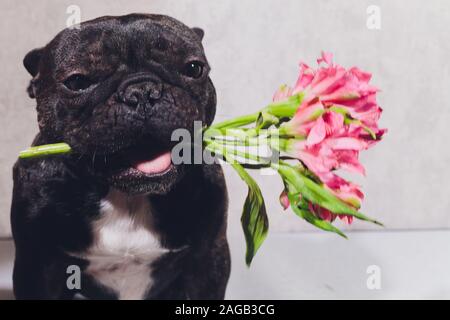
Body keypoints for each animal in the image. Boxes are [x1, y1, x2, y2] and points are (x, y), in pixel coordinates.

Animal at [10, 13, 230, 300]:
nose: (142, 92)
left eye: (194, 68)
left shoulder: (208, 259)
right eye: (77, 82)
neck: (126, 198)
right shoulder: (37, 266)